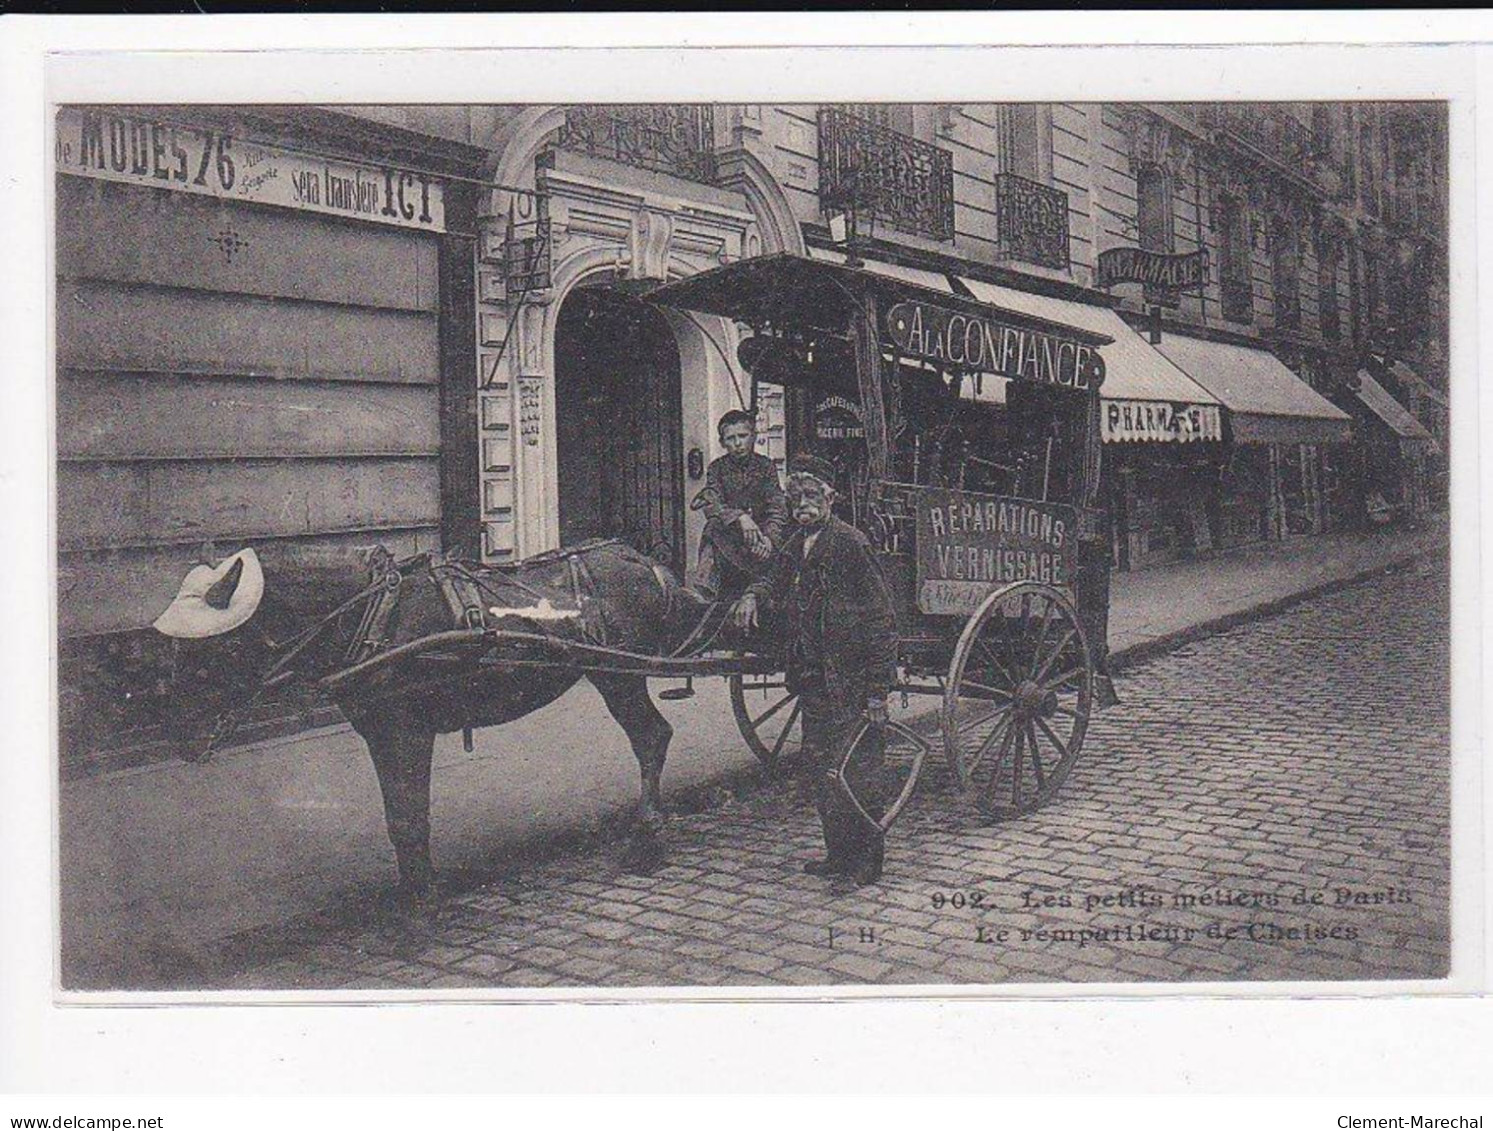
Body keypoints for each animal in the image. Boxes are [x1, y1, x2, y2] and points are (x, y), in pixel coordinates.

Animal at [154, 543, 713, 913]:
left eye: (218, 647)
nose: (183, 737)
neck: (373, 616)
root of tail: (647, 562)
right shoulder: (380, 730)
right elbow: (397, 818)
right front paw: (412, 889)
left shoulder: (407, 731)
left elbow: (410, 818)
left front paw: (422, 903)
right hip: (613, 672)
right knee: (652, 737)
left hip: (619, 675)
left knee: (651, 738)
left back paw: (647, 836)